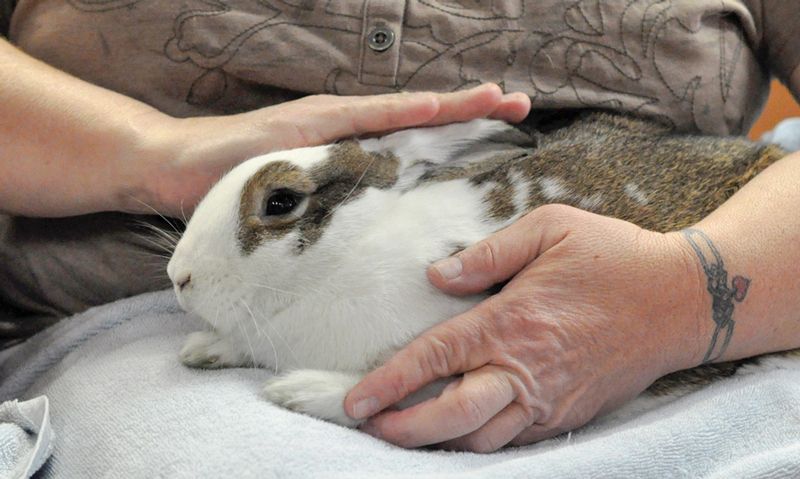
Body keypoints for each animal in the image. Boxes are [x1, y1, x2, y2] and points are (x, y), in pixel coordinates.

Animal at [169, 111, 800, 428]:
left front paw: (298, 393)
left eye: (280, 202)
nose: (179, 277)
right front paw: (204, 349)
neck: (348, 256)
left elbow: (383, 392)